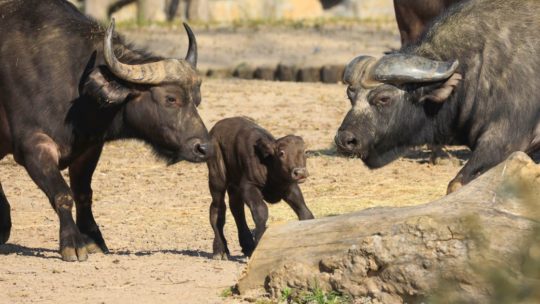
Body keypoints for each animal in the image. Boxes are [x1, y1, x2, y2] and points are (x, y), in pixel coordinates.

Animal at [0, 0, 211, 262]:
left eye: (197, 99)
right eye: (170, 98)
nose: (204, 148)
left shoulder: (88, 148)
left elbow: (83, 194)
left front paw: (93, 239)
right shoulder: (34, 147)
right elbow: (62, 194)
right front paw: (73, 243)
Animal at [208, 116, 316, 258]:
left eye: (305, 152)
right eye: (281, 153)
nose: (300, 172)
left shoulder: (290, 186)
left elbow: (304, 210)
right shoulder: (249, 186)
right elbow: (261, 210)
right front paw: (260, 239)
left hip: (234, 185)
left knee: (237, 209)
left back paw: (247, 246)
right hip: (217, 178)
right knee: (217, 209)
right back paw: (220, 250)